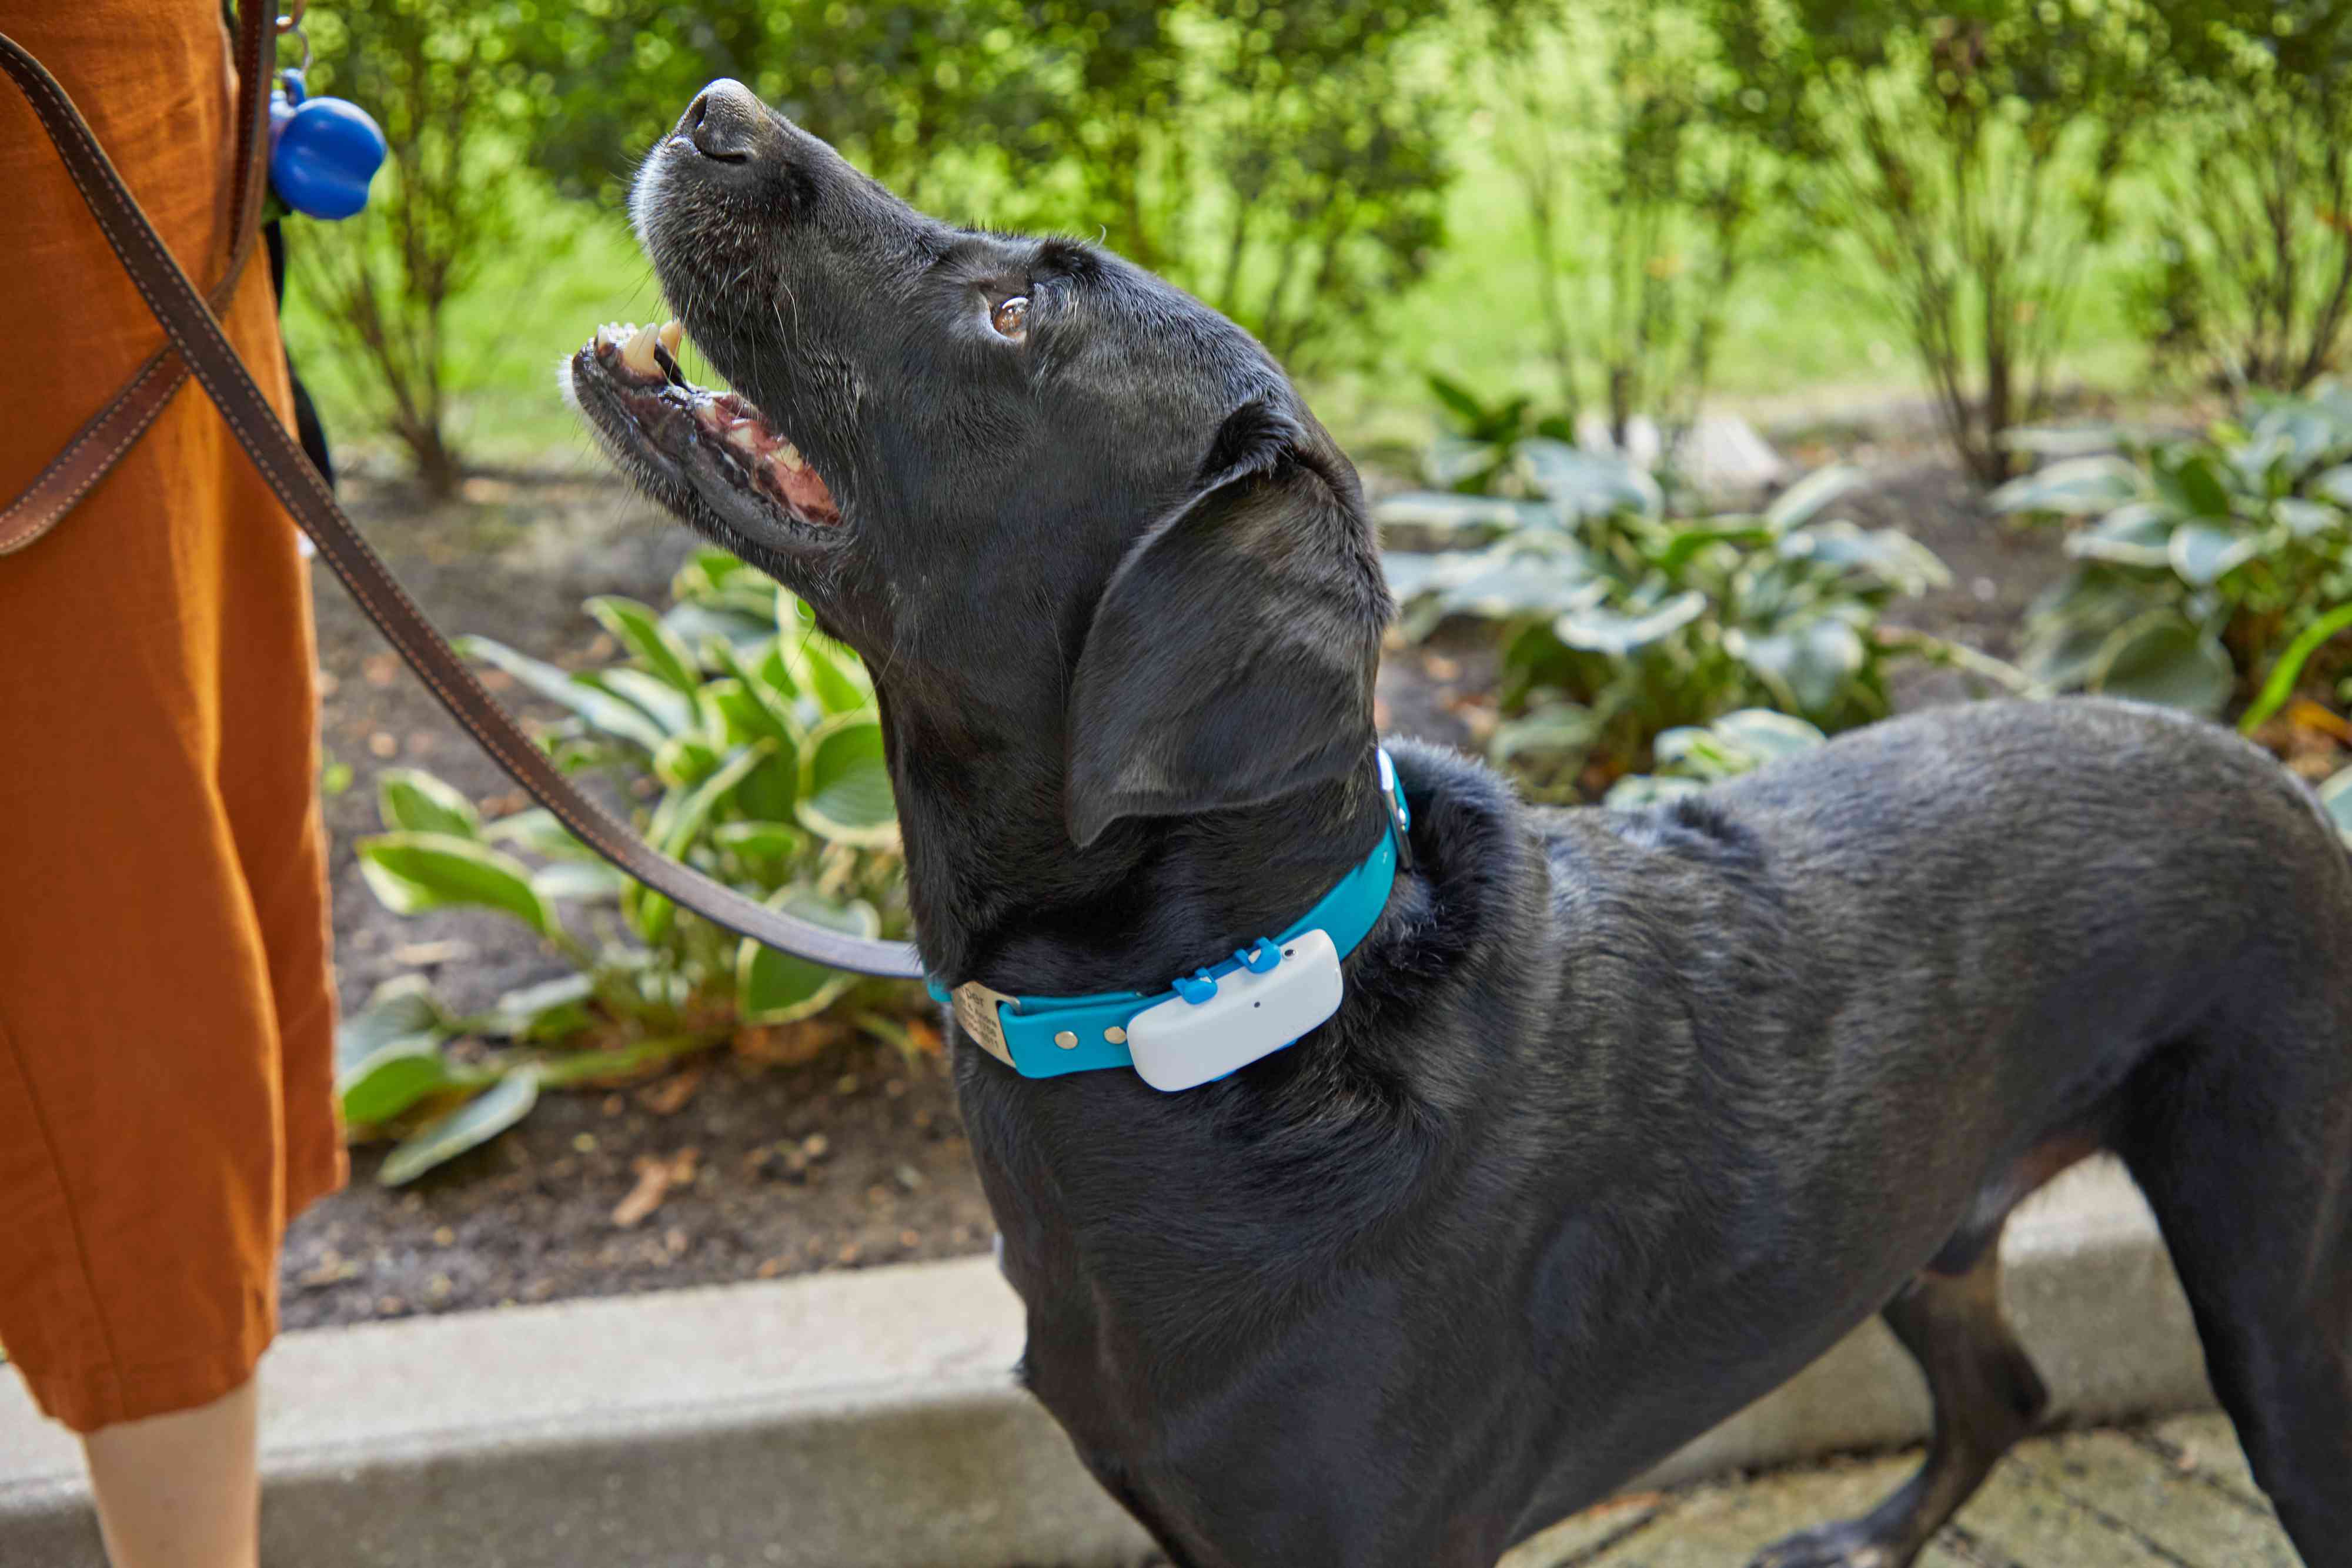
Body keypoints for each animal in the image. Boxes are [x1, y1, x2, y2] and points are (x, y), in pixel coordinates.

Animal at [574, 85, 2352, 1568]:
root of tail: (2279, 774)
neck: (1223, 1014)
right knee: (2004, 1394)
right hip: (1919, 1220)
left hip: (2278, 1295)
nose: (715, 106)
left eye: (1019, 314)